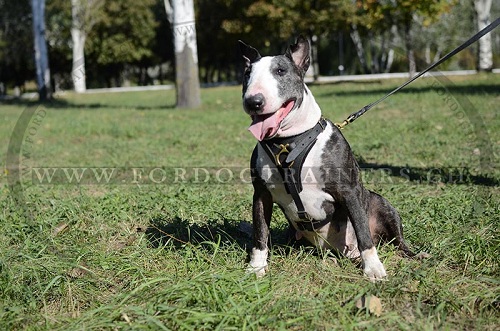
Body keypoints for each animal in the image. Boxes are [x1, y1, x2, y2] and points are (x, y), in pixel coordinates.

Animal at [238, 35, 414, 280]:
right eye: (247, 74)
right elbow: (260, 233)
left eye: (281, 71)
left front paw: (374, 269)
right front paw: (256, 267)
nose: (253, 101)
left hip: (381, 204)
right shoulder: (262, 194)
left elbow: (363, 232)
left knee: (396, 240)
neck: (288, 142)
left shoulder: (349, 191)